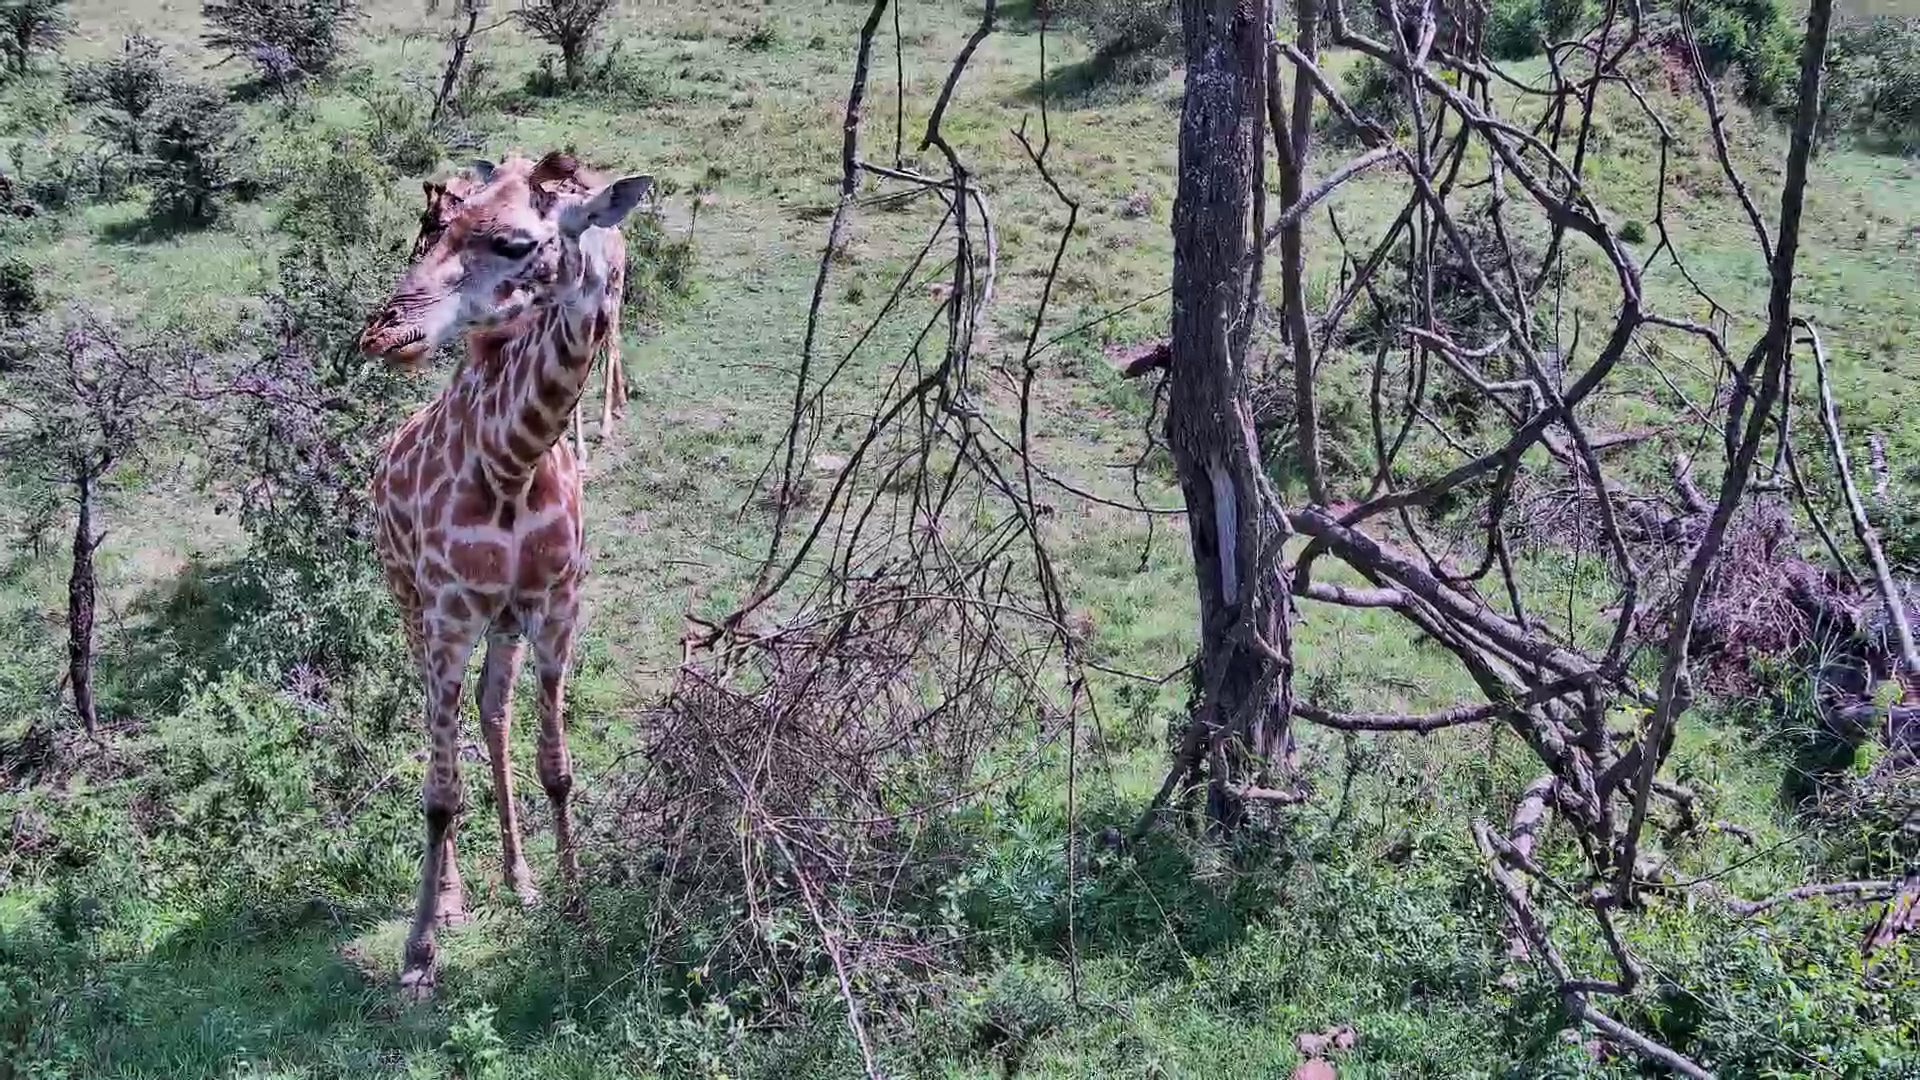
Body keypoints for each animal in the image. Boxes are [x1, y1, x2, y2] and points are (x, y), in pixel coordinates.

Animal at [414, 165, 630, 464]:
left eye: (432, 221)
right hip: (613, 291)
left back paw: (597, 432)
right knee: (613, 341)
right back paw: (616, 408)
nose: (416, 254)